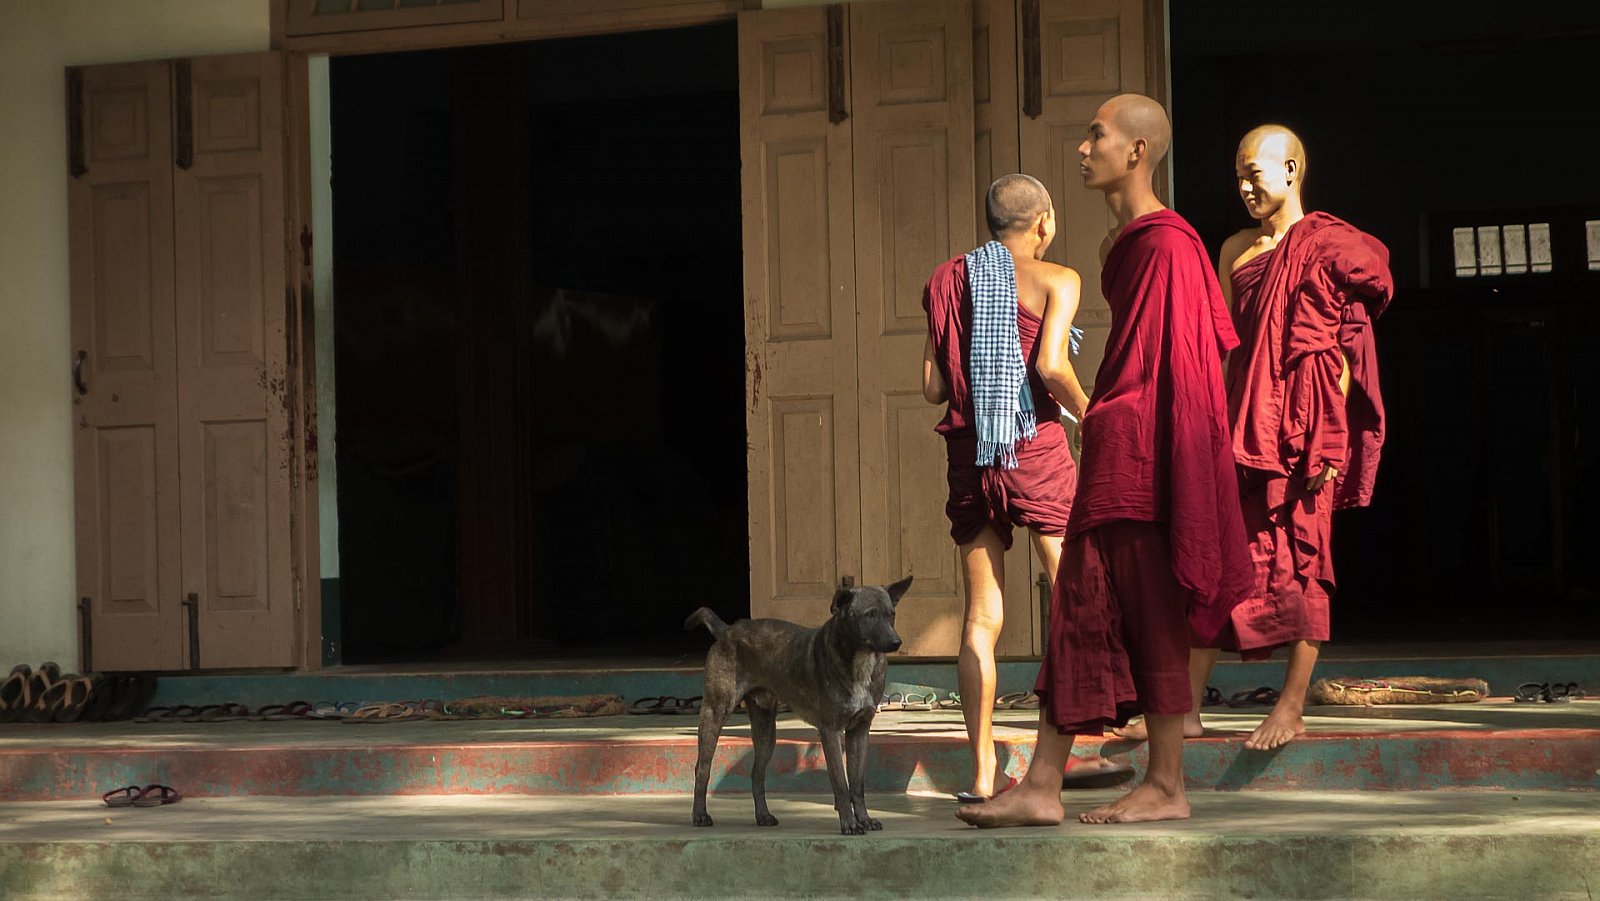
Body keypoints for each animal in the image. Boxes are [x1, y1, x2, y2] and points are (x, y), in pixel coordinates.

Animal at [684, 576, 911, 835]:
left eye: (891, 614)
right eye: (870, 615)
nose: (896, 642)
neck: (860, 660)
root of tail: (726, 631)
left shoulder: (859, 732)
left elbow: (857, 784)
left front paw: (864, 819)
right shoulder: (831, 732)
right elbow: (841, 784)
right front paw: (849, 824)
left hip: (766, 731)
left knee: (757, 774)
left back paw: (763, 815)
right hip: (715, 713)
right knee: (702, 768)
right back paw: (700, 814)